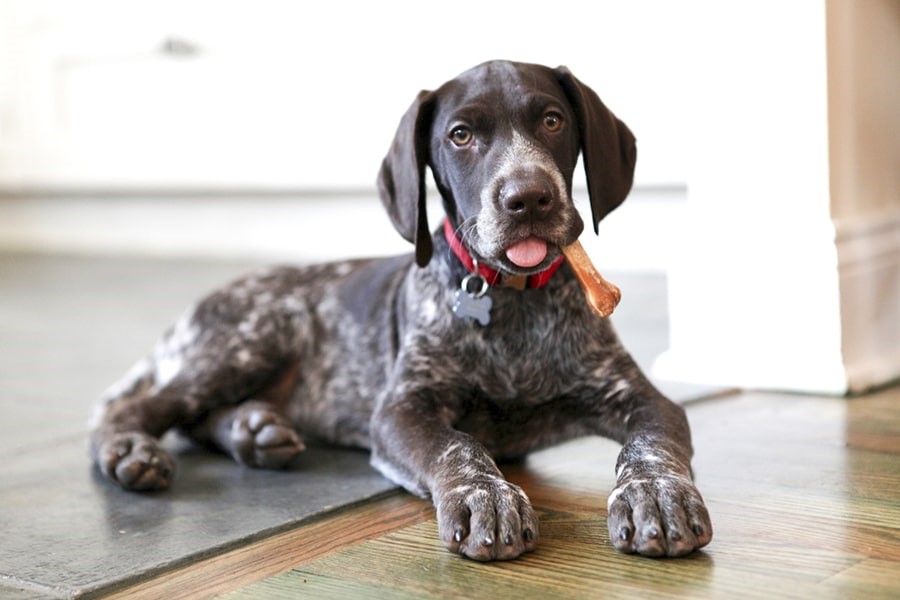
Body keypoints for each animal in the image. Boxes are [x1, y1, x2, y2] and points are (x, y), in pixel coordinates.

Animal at [91, 58, 712, 560]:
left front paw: (657, 495)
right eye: (461, 135)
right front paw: (485, 497)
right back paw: (131, 450)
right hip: (255, 335)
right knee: (141, 408)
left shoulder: (641, 398)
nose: (529, 198)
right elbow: (459, 446)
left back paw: (253, 431)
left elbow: (650, 445)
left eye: (553, 121)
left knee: (196, 419)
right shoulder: (401, 411)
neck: (511, 301)